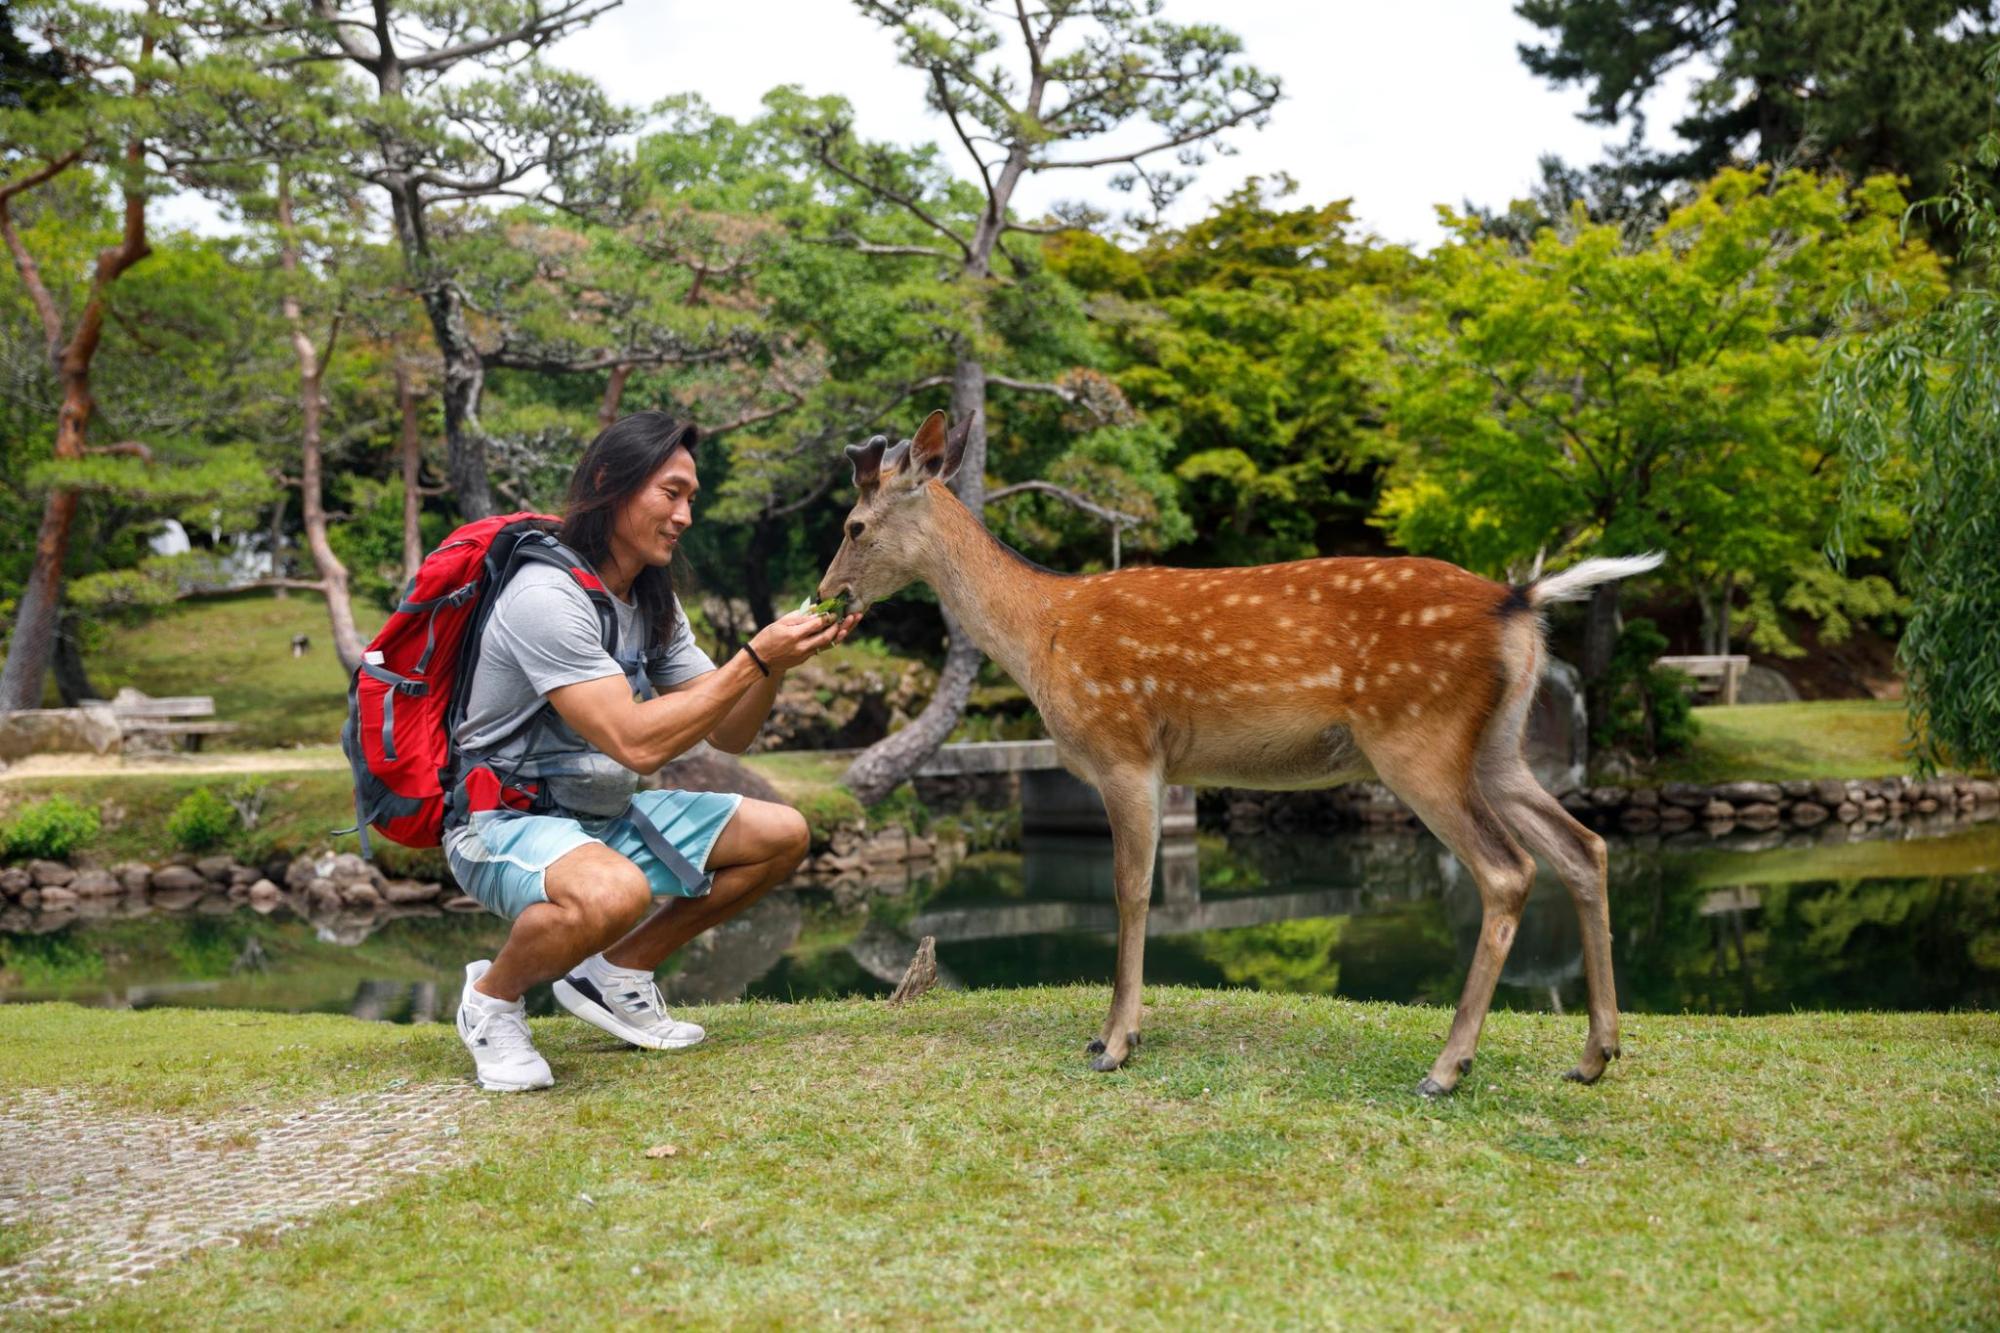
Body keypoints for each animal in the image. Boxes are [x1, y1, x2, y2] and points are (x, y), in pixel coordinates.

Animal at [817, 410, 1662, 1096]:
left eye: (854, 525)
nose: (828, 595)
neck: (1041, 636)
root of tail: (1520, 602)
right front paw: (1112, 1032)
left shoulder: (1125, 747)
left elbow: (1130, 889)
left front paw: (1114, 1042)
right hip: (1499, 747)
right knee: (1584, 845)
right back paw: (1595, 1055)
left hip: (1418, 738)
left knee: (1508, 868)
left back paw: (1447, 1067)